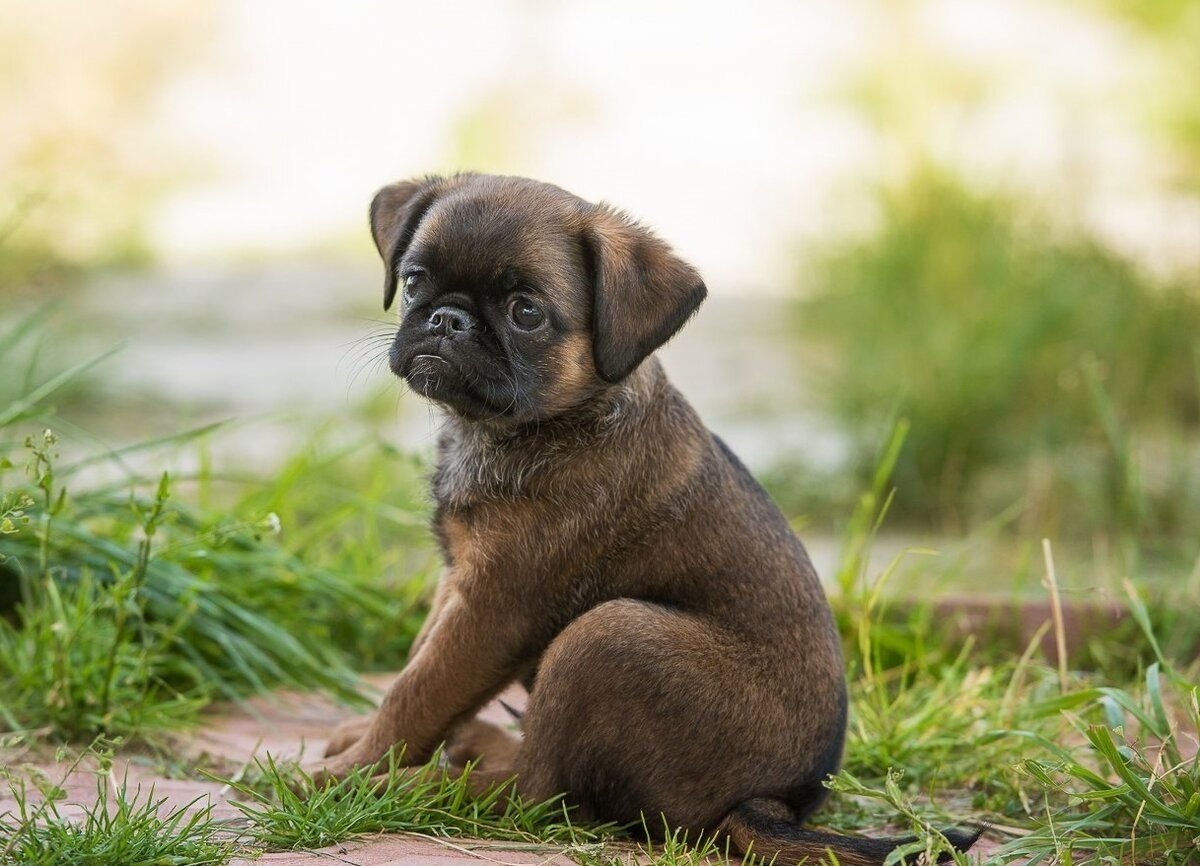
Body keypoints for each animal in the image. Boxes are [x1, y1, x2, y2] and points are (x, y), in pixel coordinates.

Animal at [324, 170, 979, 863]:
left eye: (526, 313)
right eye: (414, 280)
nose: (447, 320)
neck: (546, 421)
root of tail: (770, 805)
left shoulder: (492, 607)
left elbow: (417, 691)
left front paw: (352, 772)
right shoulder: (456, 582)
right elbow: (416, 662)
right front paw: (364, 743)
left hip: (605, 634)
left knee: (538, 790)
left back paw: (422, 784)